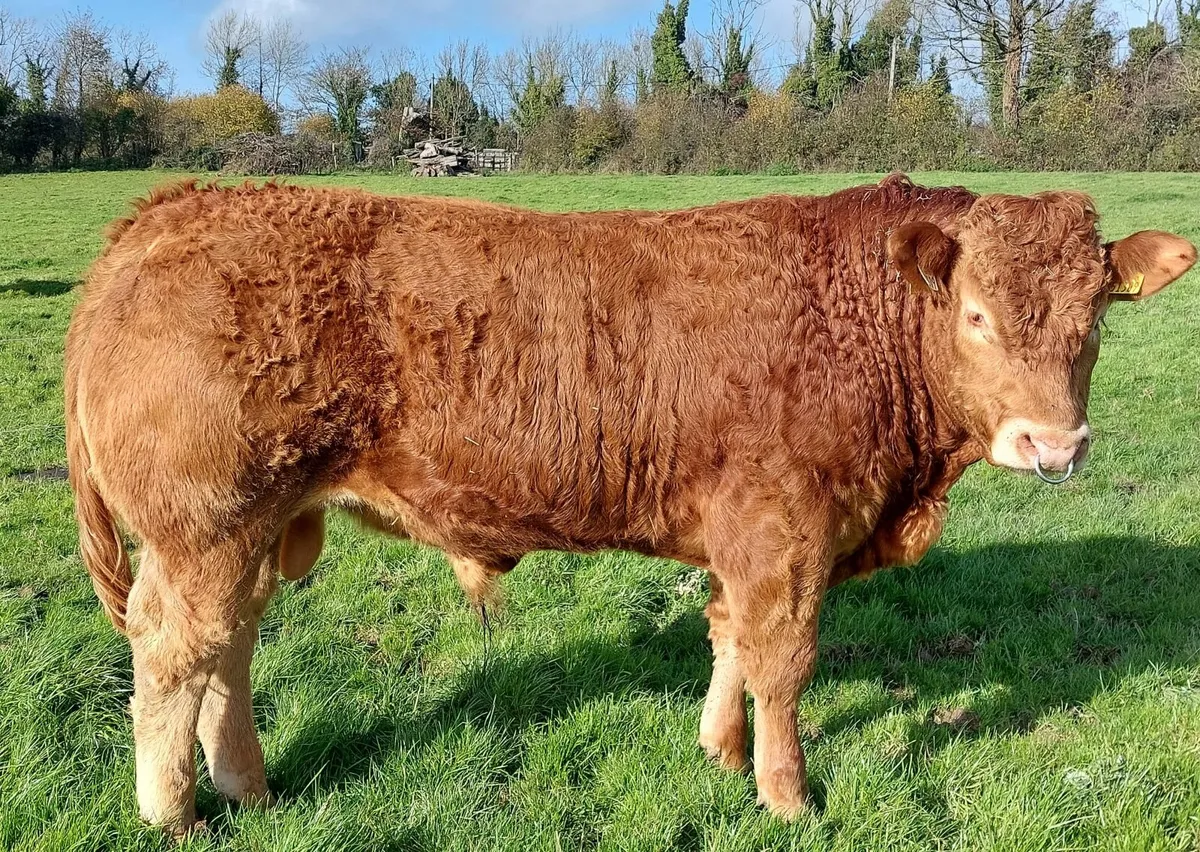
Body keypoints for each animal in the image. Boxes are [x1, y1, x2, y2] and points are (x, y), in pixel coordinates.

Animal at [65, 175, 1194, 834]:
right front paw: (787, 797)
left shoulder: (749, 539)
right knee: (175, 652)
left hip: (250, 529)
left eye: (1097, 318)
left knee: (228, 648)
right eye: (974, 315)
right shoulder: (784, 531)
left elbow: (729, 637)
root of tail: (175, 206)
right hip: (204, 527)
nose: (1054, 445)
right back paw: (174, 815)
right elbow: (783, 664)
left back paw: (247, 785)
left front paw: (720, 751)